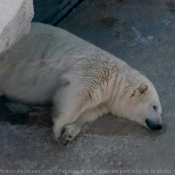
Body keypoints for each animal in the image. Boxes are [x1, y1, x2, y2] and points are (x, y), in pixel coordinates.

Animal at [0, 22, 162, 145]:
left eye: (160, 111)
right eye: (154, 106)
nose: (159, 125)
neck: (116, 80)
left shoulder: (105, 100)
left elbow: (89, 111)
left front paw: (69, 134)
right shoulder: (95, 73)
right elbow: (76, 96)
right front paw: (58, 130)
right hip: (14, 53)